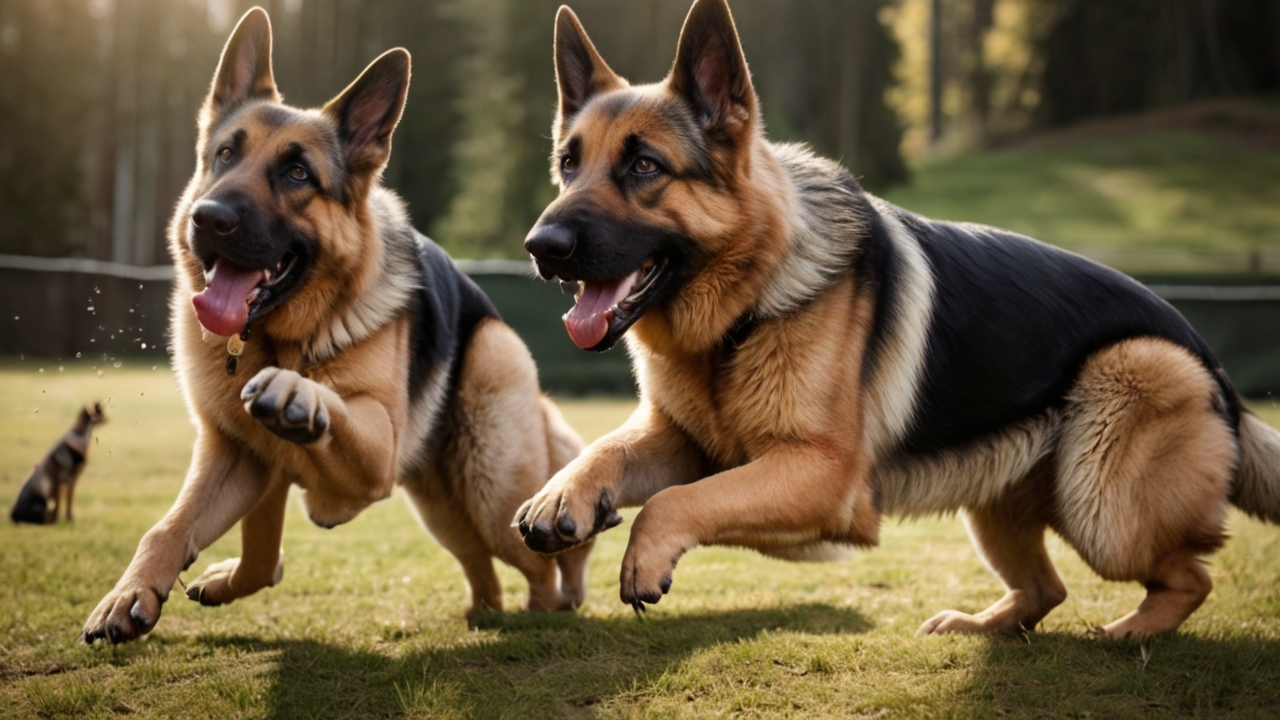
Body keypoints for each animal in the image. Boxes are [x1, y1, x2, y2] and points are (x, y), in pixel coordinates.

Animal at [82, 7, 591, 645]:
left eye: (298, 173)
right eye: (224, 155)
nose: (208, 218)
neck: (278, 336)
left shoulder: (372, 453)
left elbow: (333, 409)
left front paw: (297, 392)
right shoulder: (238, 456)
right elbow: (183, 530)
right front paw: (135, 593)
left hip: (493, 491)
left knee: (546, 565)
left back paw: (546, 604)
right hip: (443, 509)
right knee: (484, 565)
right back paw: (484, 613)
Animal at [514, 0, 1280, 635]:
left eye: (644, 166)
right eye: (568, 165)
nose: (540, 247)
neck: (747, 307)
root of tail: (1213, 365)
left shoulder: (822, 481)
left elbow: (675, 502)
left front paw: (642, 552)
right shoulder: (683, 441)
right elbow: (609, 449)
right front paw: (562, 493)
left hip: (1106, 488)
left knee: (1190, 576)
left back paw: (1128, 635)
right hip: (1000, 502)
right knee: (1049, 590)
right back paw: (981, 627)